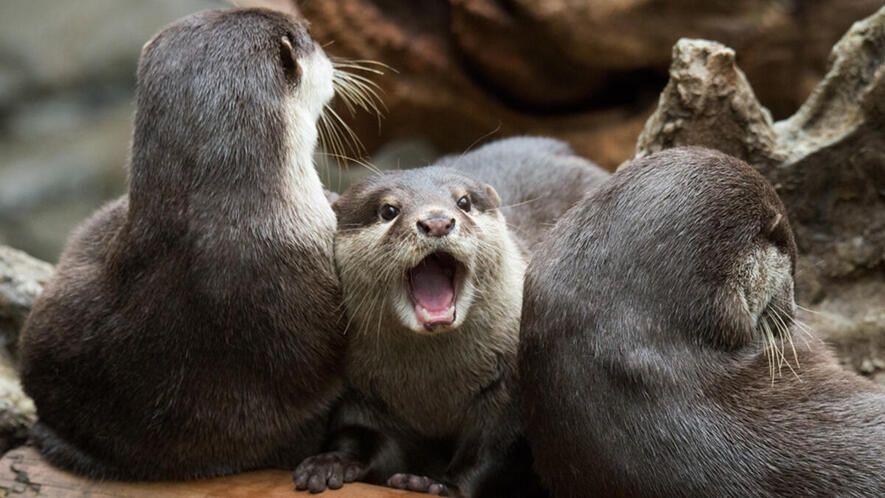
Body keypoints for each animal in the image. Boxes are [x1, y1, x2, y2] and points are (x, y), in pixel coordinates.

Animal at [294, 137, 608, 497]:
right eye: (388, 210)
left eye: (464, 202)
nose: (437, 221)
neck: (433, 395)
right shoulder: (361, 395)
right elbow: (359, 434)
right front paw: (328, 462)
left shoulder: (508, 393)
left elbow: (491, 453)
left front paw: (438, 483)